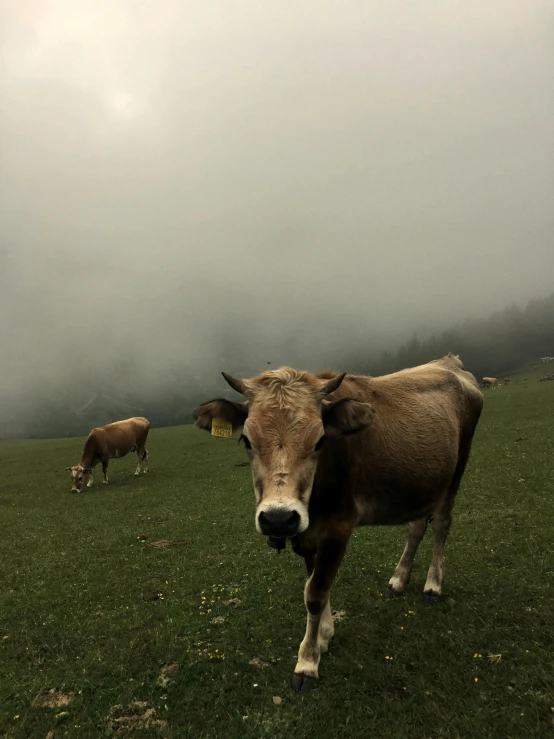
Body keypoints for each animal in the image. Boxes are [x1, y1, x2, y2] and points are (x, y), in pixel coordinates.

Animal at [193, 356, 478, 692]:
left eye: (320, 441)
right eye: (246, 440)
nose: (278, 518)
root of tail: (449, 362)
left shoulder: (338, 529)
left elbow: (316, 593)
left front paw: (307, 662)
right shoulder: (306, 533)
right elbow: (314, 583)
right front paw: (324, 635)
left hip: (455, 473)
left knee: (441, 526)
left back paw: (433, 584)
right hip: (423, 484)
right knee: (417, 527)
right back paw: (399, 579)